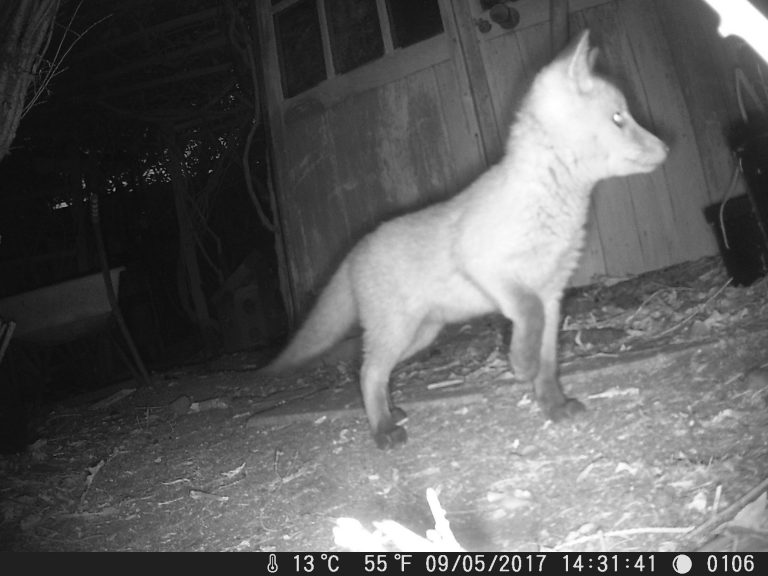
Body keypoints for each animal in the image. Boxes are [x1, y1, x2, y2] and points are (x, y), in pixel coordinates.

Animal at [263, 30, 668, 449]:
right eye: (619, 117)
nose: (667, 149)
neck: (550, 204)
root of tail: (356, 247)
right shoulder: (492, 271)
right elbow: (529, 320)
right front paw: (520, 364)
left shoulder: (553, 294)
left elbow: (549, 364)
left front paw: (554, 407)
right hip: (397, 330)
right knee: (367, 372)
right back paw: (384, 430)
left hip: (420, 335)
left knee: (374, 371)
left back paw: (392, 412)